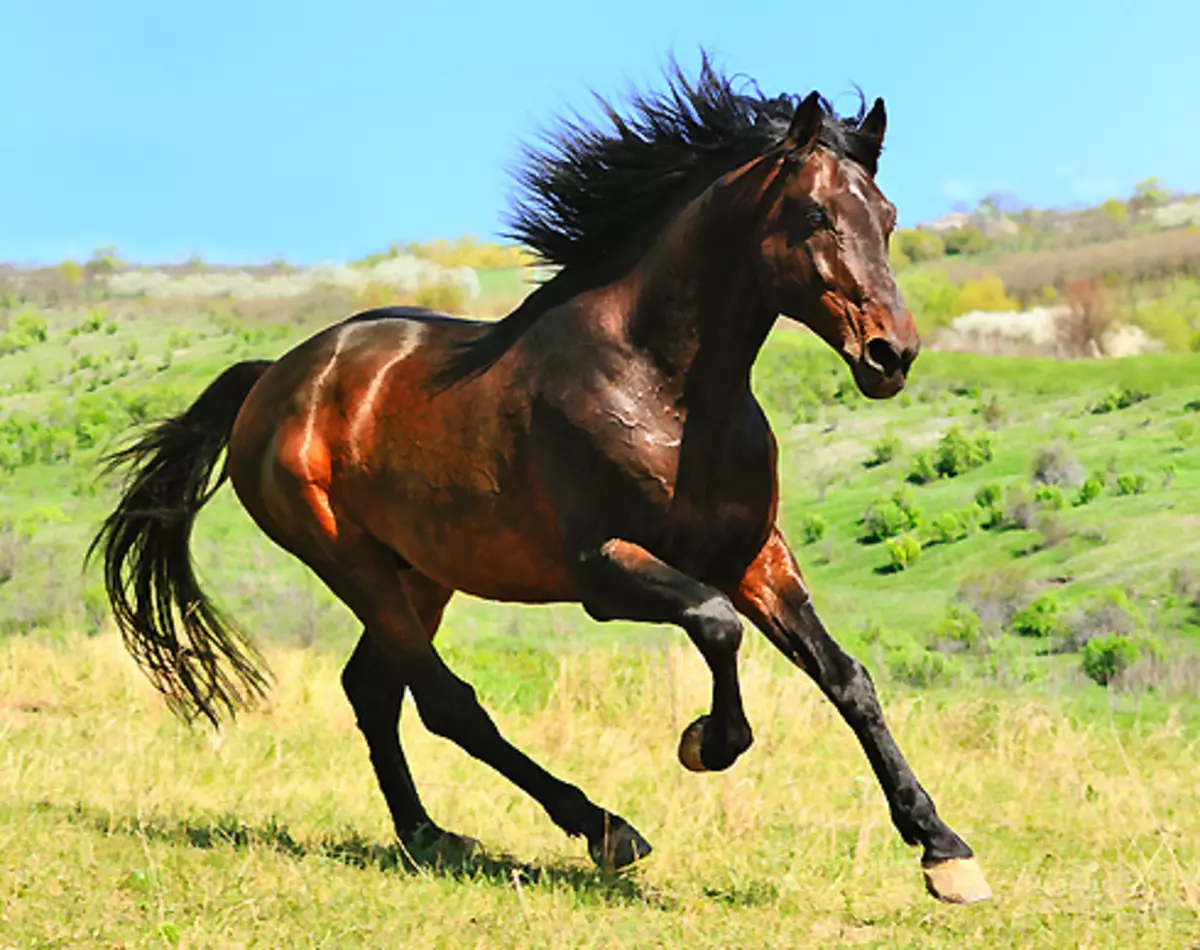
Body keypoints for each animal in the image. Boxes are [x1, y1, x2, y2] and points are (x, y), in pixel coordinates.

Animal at [91, 59, 993, 906]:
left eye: (887, 218)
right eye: (813, 215)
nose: (891, 355)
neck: (666, 389)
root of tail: (276, 377)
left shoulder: (753, 555)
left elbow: (847, 678)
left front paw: (944, 852)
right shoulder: (603, 568)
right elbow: (716, 625)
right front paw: (704, 743)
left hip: (422, 571)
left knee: (376, 690)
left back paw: (429, 834)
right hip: (349, 560)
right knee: (445, 700)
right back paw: (603, 829)